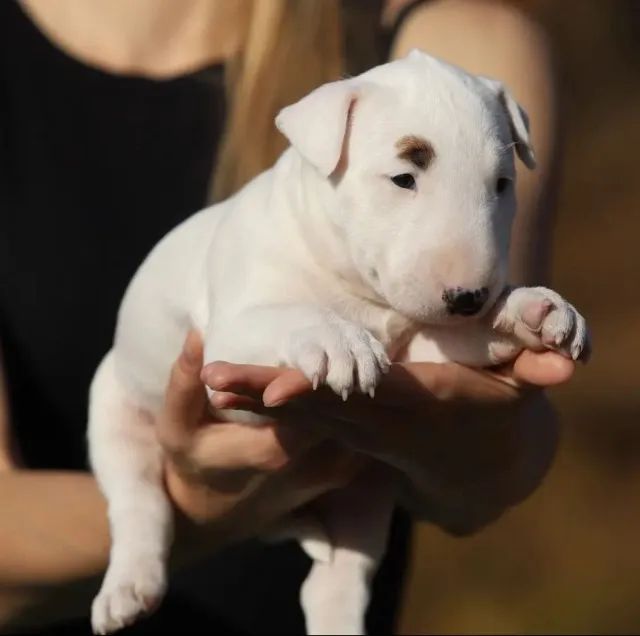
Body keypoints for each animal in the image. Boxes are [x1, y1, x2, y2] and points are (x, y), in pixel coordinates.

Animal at [87, 49, 588, 636]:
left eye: (503, 184)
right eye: (403, 178)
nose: (469, 297)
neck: (359, 291)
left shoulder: (419, 345)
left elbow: (455, 338)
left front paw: (532, 310)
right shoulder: (227, 349)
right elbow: (291, 316)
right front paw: (338, 343)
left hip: (366, 490)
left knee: (335, 581)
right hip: (115, 414)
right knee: (139, 501)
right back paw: (128, 588)